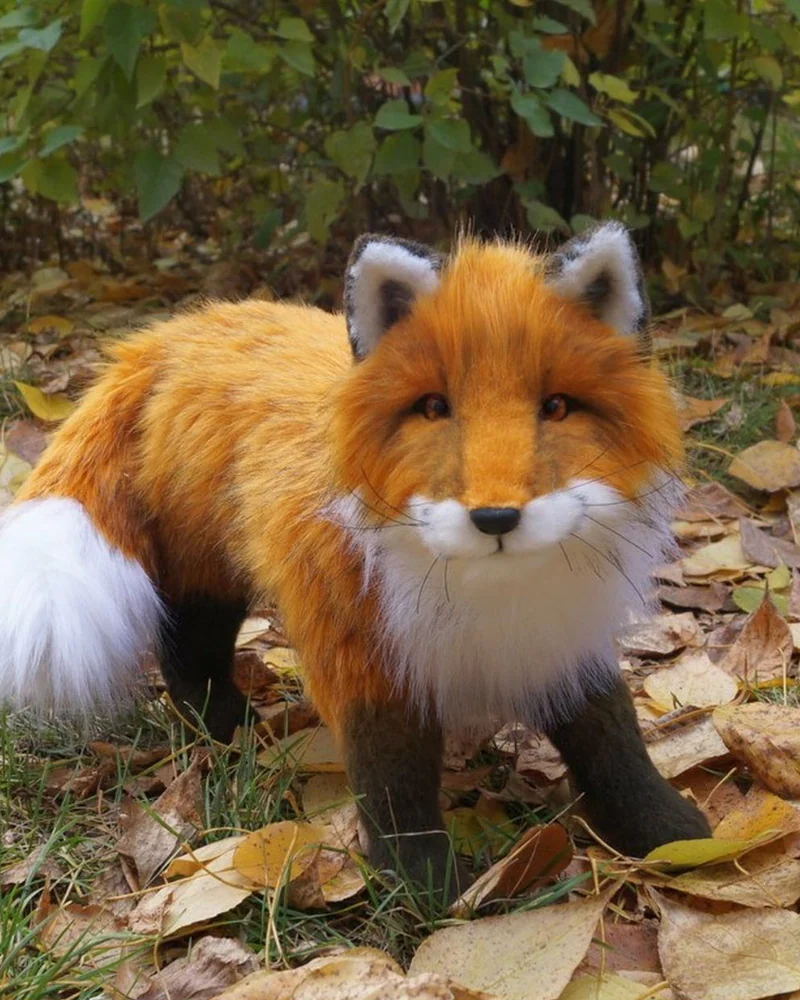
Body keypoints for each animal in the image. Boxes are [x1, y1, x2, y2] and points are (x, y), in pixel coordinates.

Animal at [0, 223, 709, 891]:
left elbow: (611, 738)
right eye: (434, 408)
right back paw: (223, 730)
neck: (483, 594)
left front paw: (670, 833)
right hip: (209, 568)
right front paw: (423, 891)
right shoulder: (364, 651)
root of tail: (176, 330)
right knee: (188, 644)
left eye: (556, 406)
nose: (495, 519)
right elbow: (393, 781)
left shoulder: (559, 640)